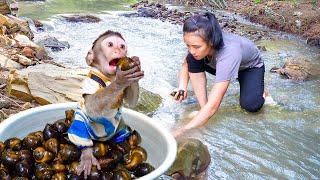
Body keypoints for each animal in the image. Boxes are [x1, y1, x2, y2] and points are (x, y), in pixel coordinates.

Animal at [68, 30, 144, 178]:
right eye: (110, 44)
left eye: (122, 46)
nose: (118, 50)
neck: (108, 78)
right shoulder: (91, 82)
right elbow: (92, 106)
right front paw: (121, 80)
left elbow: (131, 101)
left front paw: (136, 61)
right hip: (82, 125)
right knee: (79, 130)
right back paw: (87, 154)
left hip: (120, 127)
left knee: (122, 133)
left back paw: (124, 146)